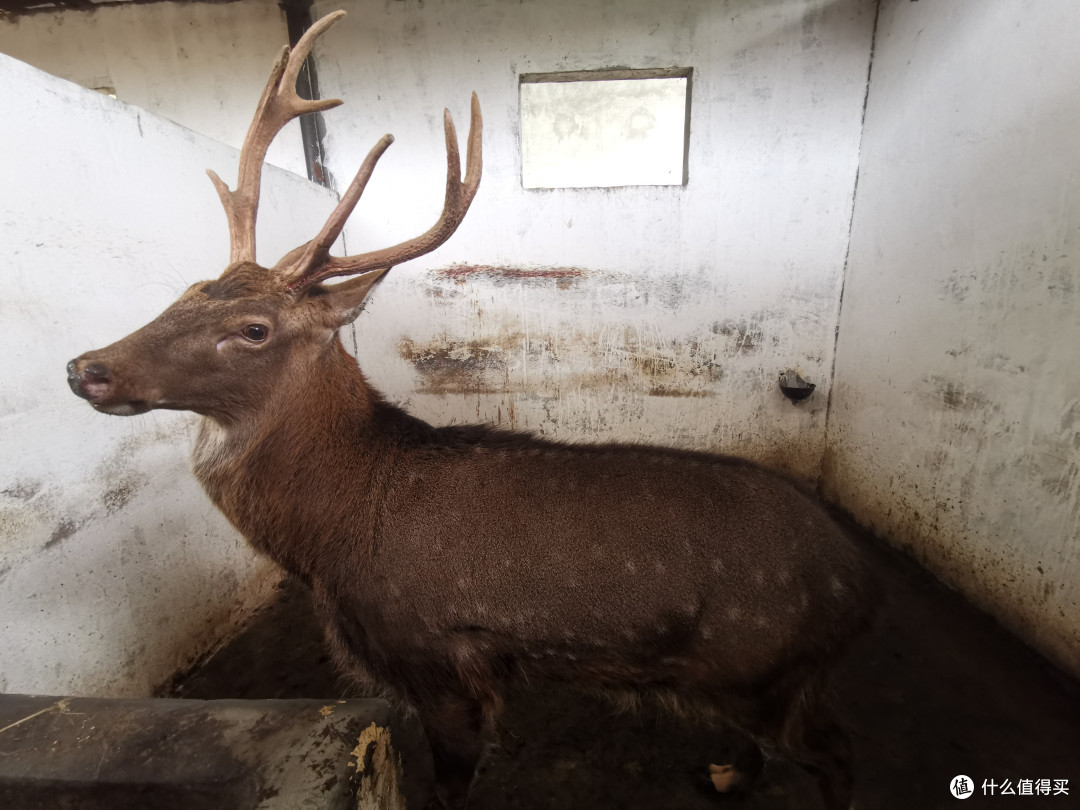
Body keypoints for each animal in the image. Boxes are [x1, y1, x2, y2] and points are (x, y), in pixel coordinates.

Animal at [66, 10, 873, 809]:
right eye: (192, 288)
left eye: (254, 329)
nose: (86, 369)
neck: (326, 544)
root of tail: (857, 586)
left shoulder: (438, 658)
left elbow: (453, 783)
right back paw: (726, 772)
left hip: (761, 664)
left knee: (837, 752)